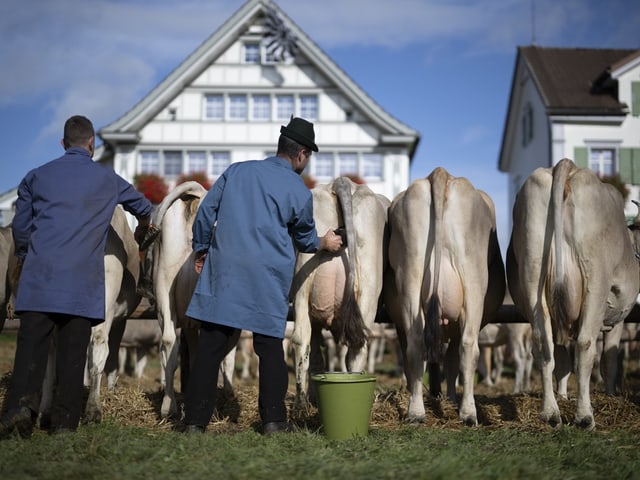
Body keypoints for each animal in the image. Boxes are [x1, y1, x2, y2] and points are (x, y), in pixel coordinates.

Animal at [292, 176, 390, 412]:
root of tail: (342, 181)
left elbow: (316, 355)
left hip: (303, 280)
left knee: (301, 340)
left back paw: (300, 405)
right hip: (366, 290)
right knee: (355, 350)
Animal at [382, 168, 508, 424]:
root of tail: (440, 173)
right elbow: (450, 363)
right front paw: (449, 397)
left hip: (410, 273)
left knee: (416, 343)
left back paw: (416, 412)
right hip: (474, 279)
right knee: (469, 347)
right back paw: (468, 413)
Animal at [504, 158, 640, 432]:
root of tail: (566, 167)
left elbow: (562, 362)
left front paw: (563, 396)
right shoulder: (617, 319)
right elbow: (610, 361)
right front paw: (610, 395)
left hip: (533, 274)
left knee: (543, 345)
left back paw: (550, 413)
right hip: (595, 279)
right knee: (585, 346)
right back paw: (585, 416)